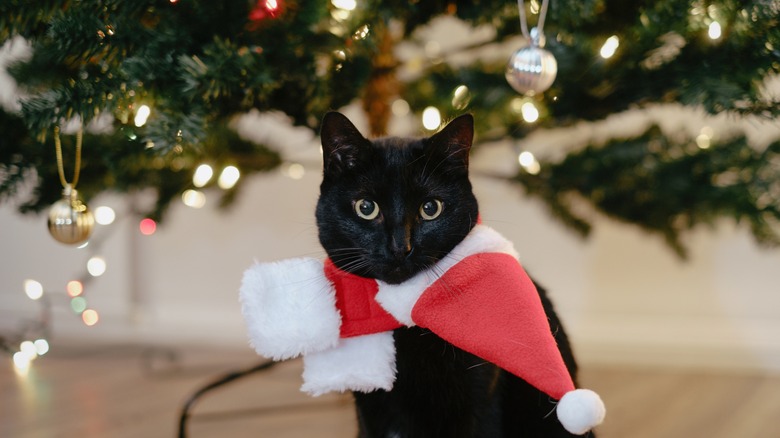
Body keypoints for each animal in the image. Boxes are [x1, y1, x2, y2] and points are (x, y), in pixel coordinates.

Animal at [316, 113, 584, 438]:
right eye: (366, 208)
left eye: (431, 208)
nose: (400, 247)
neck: (407, 326)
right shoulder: (373, 413)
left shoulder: (480, 404)